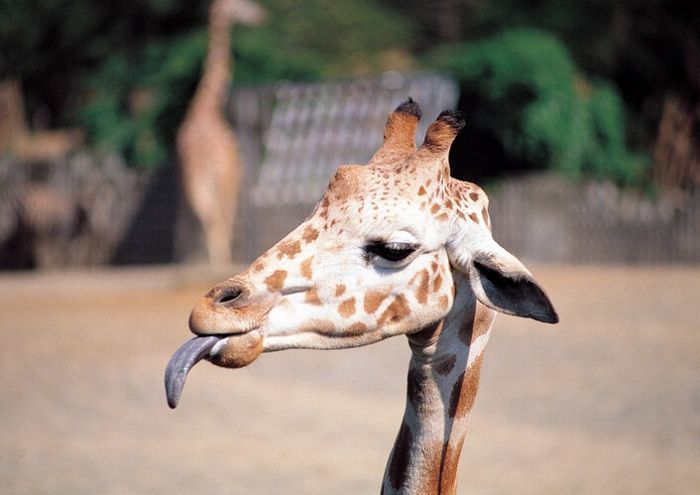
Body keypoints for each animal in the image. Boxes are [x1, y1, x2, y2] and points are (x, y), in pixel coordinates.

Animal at [176, 0, 266, 266]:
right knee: (221, 216)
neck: (206, 104)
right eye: (241, 5)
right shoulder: (233, 174)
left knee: (207, 214)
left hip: (198, 180)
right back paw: (223, 262)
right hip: (225, 177)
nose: (263, 16)